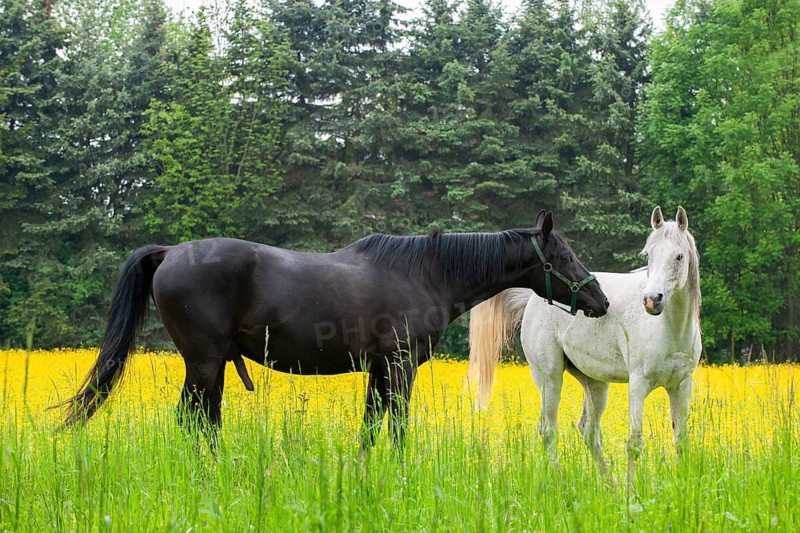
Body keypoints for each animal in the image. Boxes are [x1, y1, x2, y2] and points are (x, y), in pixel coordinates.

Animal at [62, 210, 609, 449]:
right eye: (564, 256)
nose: (600, 298)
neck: (426, 272)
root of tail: (170, 252)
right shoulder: (400, 366)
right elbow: (397, 425)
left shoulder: (379, 369)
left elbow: (371, 425)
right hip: (203, 362)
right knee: (192, 419)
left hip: (211, 366)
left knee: (205, 420)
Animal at [469, 207, 701, 473]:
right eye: (648, 255)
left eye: (679, 257)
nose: (652, 300)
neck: (671, 329)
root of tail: (532, 297)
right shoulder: (638, 384)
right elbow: (634, 443)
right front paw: (632, 486)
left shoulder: (681, 385)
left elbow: (680, 440)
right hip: (549, 377)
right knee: (548, 430)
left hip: (595, 383)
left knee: (589, 432)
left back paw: (608, 481)